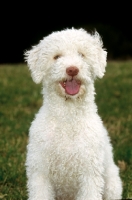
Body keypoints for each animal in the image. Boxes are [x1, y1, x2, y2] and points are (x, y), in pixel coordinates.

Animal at [25, 28, 122, 200]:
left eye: (81, 54)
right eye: (57, 56)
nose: (72, 69)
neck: (67, 119)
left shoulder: (90, 174)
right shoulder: (40, 172)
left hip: (112, 186)